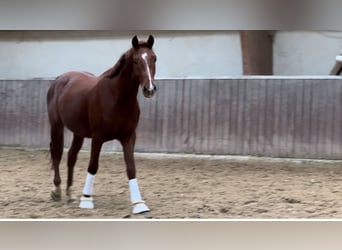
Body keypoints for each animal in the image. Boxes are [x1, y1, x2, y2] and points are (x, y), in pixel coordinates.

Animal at [46, 35, 157, 214]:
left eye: (154, 58)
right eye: (135, 61)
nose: (149, 89)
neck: (117, 99)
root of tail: (60, 79)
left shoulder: (128, 137)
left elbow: (131, 168)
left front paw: (139, 204)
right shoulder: (98, 138)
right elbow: (93, 166)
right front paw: (86, 199)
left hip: (78, 132)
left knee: (71, 157)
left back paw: (70, 193)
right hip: (56, 125)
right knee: (56, 153)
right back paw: (56, 191)